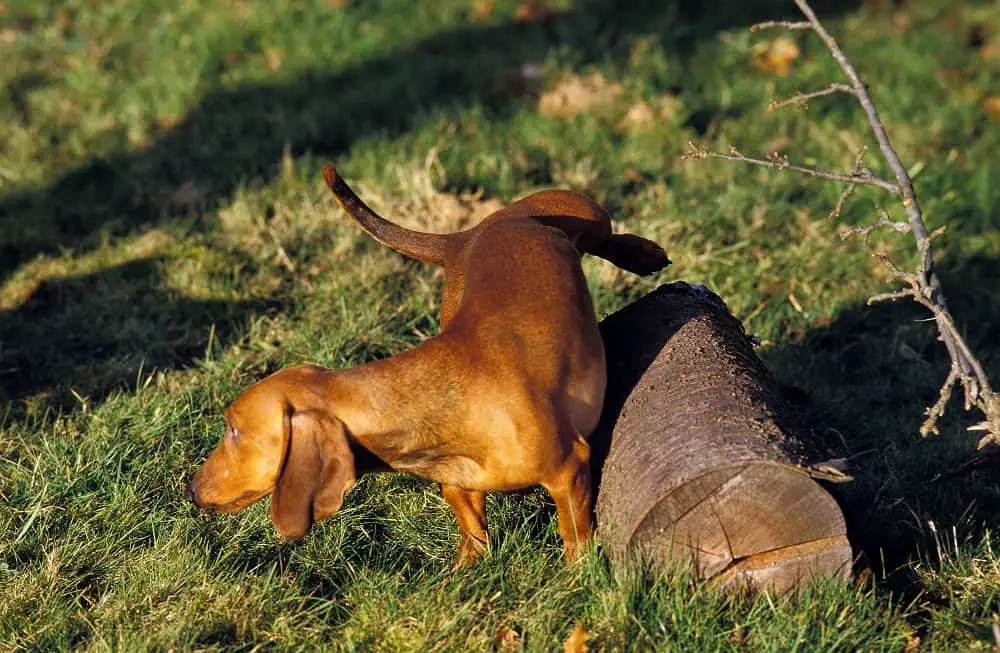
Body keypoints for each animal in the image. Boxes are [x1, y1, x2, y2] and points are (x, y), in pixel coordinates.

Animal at [188, 164, 668, 564]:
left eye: (234, 429)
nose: (190, 489)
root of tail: (469, 233)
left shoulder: (568, 470)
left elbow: (575, 539)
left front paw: (579, 579)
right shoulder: (456, 483)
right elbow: (474, 533)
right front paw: (465, 573)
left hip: (582, 209)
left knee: (606, 236)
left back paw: (643, 254)